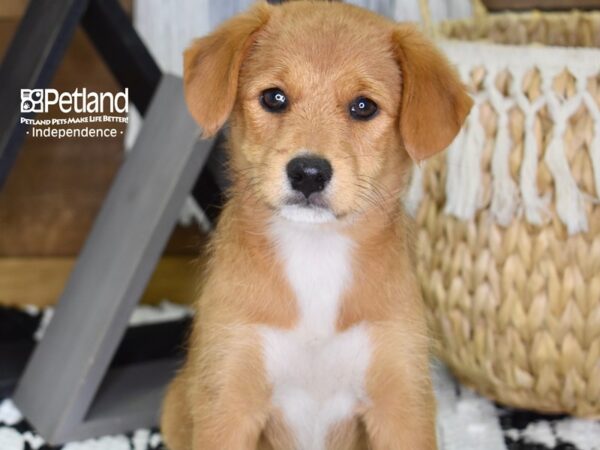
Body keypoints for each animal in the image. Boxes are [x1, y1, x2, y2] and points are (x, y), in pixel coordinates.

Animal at [162, 1, 472, 448]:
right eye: (274, 98)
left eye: (364, 106)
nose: (308, 173)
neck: (315, 253)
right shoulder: (229, 399)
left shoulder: (401, 405)